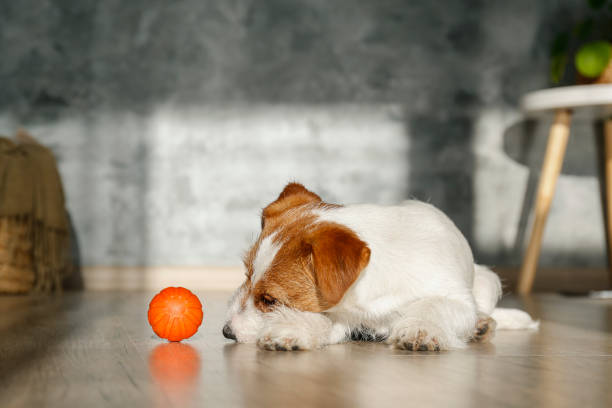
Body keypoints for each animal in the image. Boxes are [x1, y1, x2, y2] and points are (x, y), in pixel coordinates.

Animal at [222, 182, 536, 350]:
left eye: (269, 300)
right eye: (246, 276)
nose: (226, 332)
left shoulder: (456, 300)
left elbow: (432, 305)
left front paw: (420, 330)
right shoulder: (345, 317)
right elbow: (324, 320)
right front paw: (290, 330)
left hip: (487, 280)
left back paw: (481, 326)